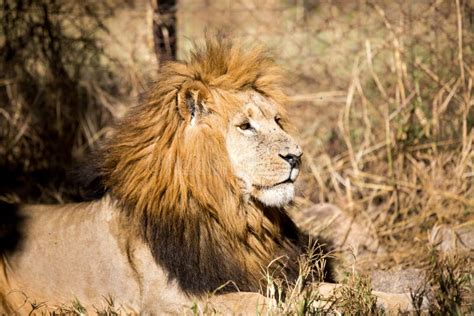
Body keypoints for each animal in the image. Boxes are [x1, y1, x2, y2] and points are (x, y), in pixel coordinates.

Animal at [0, 39, 334, 314]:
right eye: (245, 126)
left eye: (277, 120)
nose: (297, 156)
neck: (236, 217)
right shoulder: (164, 301)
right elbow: (262, 303)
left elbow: (329, 288)